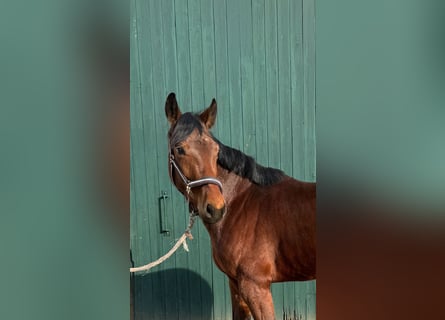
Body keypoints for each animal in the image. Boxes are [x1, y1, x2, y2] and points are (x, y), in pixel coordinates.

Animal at [164, 91, 316, 318]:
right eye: (179, 149)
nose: (216, 208)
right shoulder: (235, 284)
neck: (240, 202)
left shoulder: (256, 287)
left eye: (215, 150)